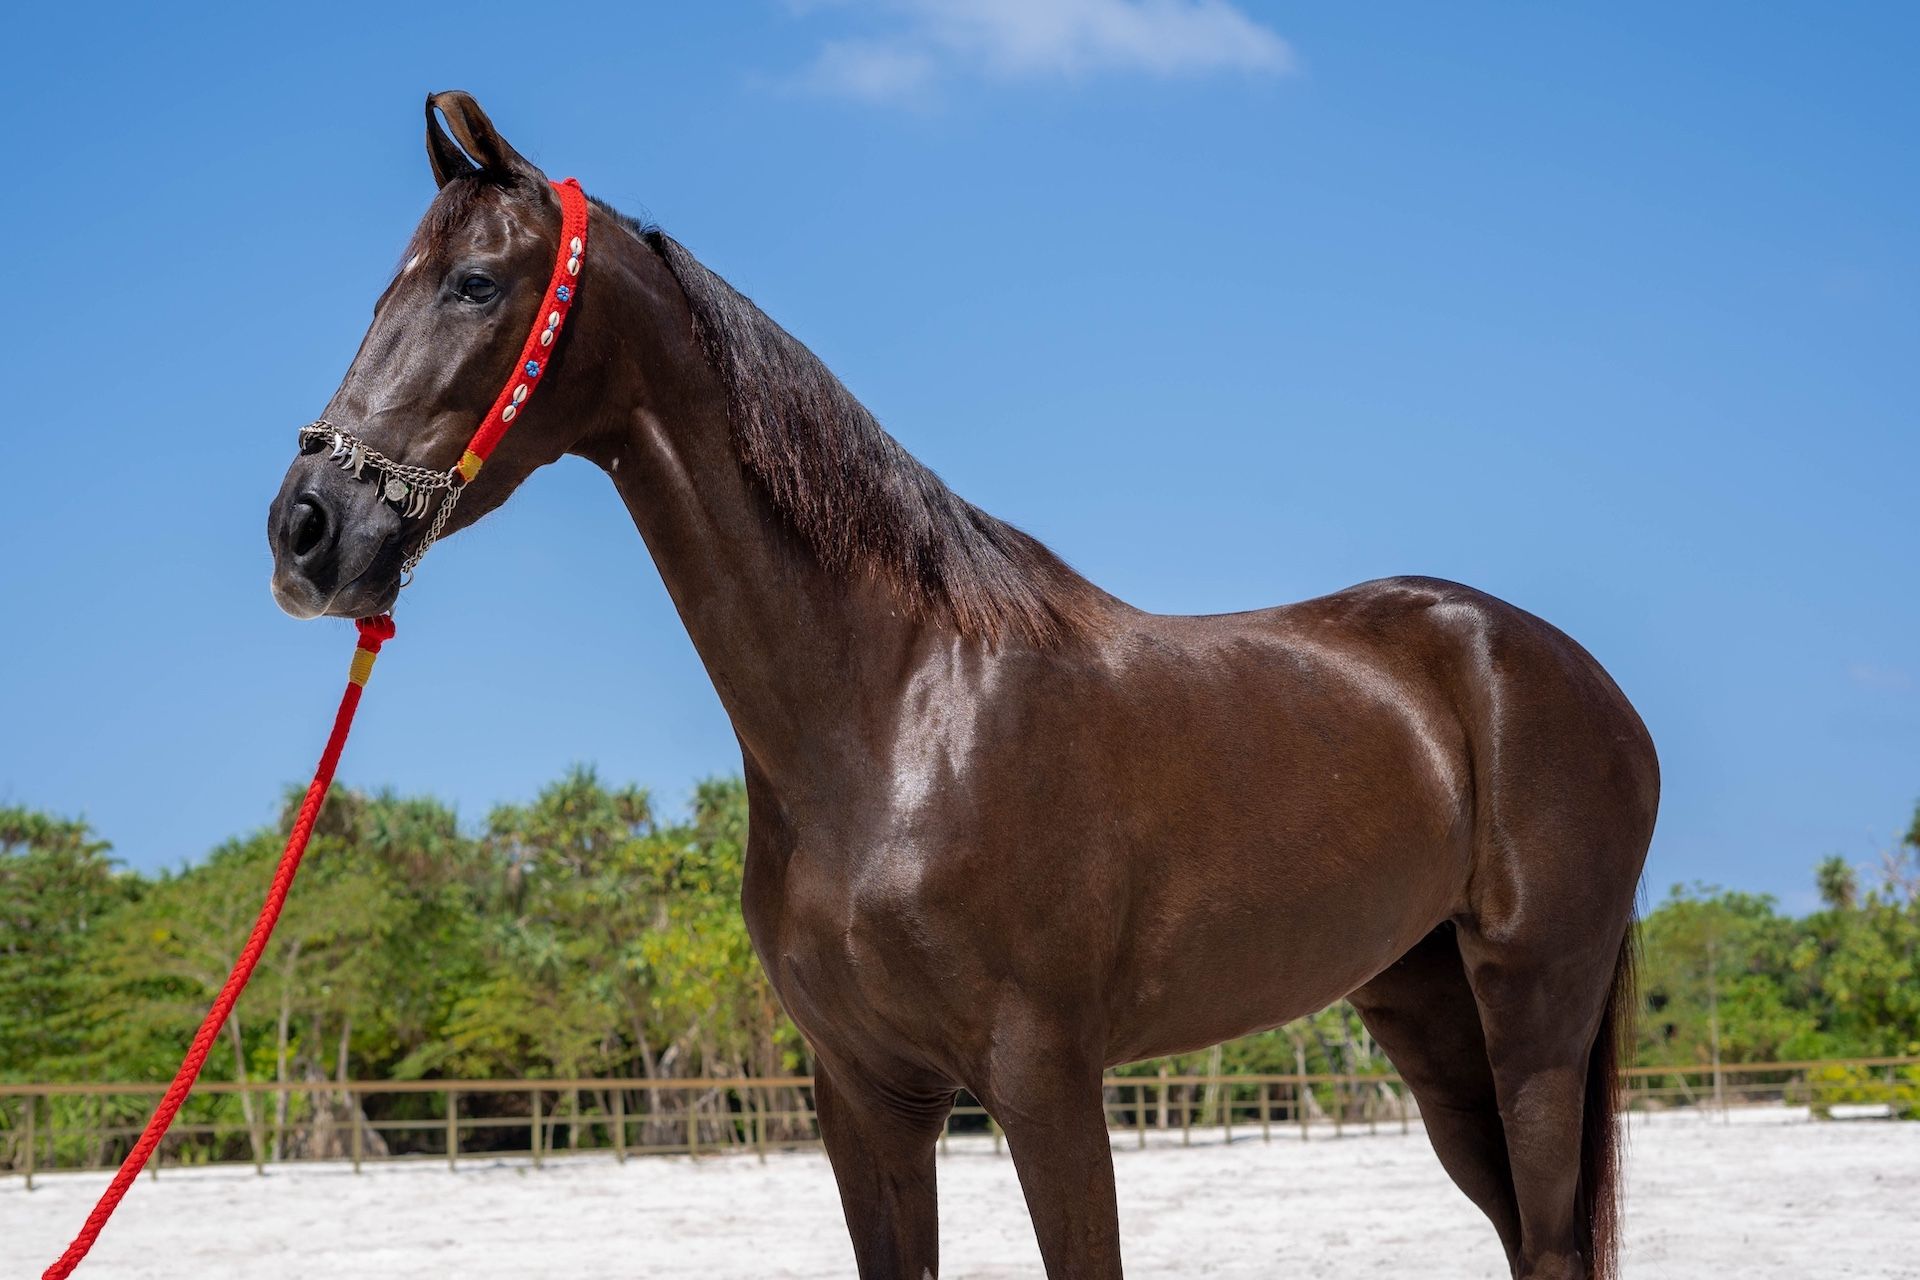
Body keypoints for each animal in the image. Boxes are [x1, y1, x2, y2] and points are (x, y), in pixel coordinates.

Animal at [267, 92, 1658, 1280]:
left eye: (475, 284)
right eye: (386, 289)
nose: (308, 529)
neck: (891, 720)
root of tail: (1573, 677)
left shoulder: (1046, 1079)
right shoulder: (866, 1092)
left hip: (1537, 1011)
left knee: (1549, 1238)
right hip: (1425, 1010)